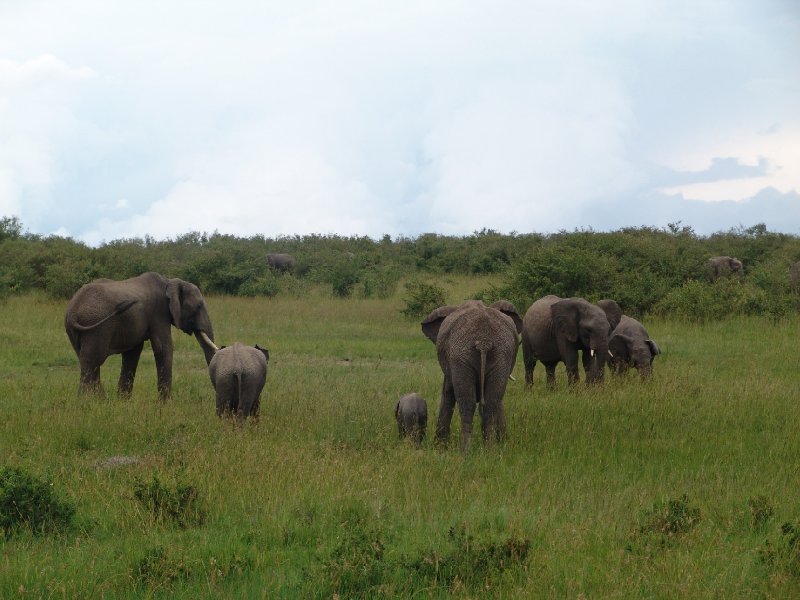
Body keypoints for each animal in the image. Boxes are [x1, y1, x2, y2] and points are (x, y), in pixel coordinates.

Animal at [64, 274, 216, 400]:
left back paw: (100, 400)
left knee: (89, 361)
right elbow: (163, 348)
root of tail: (73, 311)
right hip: (97, 328)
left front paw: (123, 401)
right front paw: (165, 404)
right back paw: (86, 402)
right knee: (92, 361)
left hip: (76, 330)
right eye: (199, 306)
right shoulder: (159, 313)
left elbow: (133, 353)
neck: (169, 281)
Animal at [418, 300, 524, 450]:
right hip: (500, 355)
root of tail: (484, 341)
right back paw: (490, 450)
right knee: (491, 401)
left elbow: (447, 393)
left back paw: (465, 451)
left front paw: (440, 447)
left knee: (467, 403)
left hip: (462, 356)